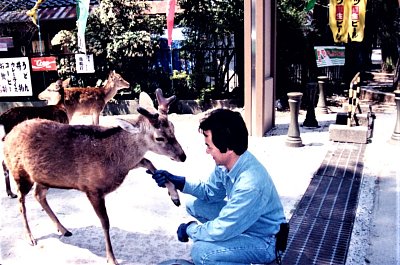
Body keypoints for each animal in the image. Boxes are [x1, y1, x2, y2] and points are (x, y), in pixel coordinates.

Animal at [3, 88, 186, 264]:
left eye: (173, 128)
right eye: (159, 138)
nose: (183, 156)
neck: (115, 161)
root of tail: (7, 136)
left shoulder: (129, 165)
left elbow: (149, 162)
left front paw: (174, 196)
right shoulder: (92, 188)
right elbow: (105, 222)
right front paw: (111, 258)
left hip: (43, 176)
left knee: (38, 195)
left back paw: (63, 229)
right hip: (20, 172)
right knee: (21, 202)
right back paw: (30, 237)